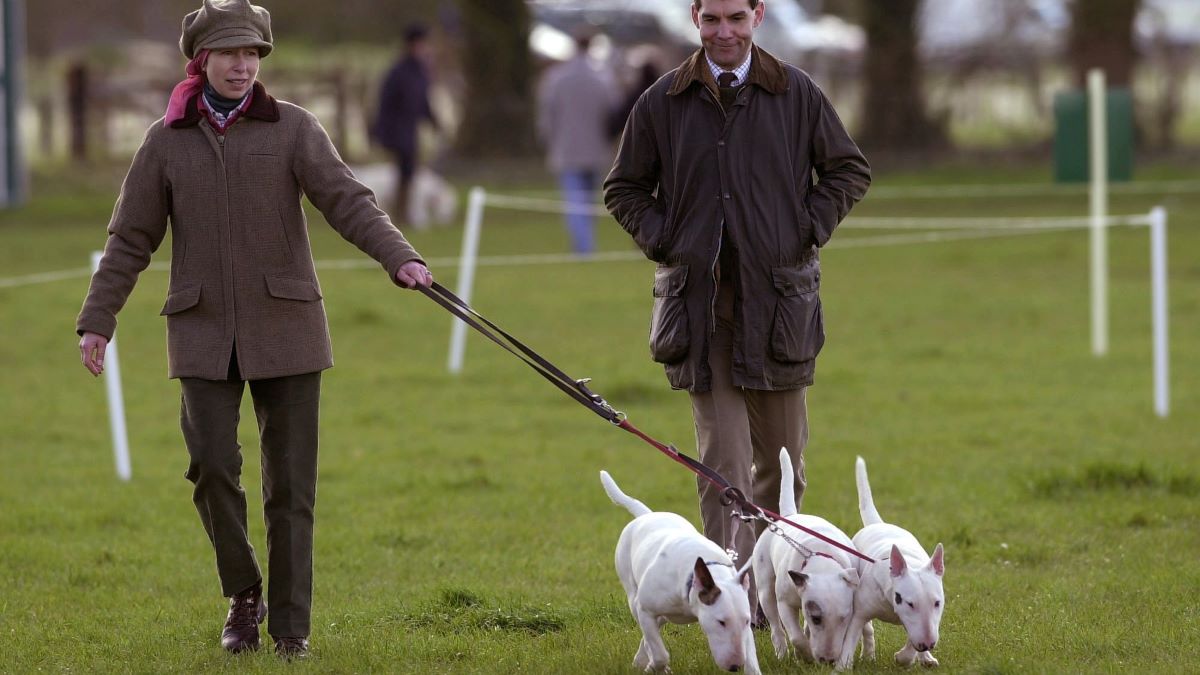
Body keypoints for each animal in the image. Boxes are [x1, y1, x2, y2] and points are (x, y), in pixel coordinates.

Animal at [600, 470, 758, 667]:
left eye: (747, 621)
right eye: (721, 622)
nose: (735, 666)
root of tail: (647, 515)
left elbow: (752, 659)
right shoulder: (644, 609)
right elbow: (659, 653)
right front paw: (655, 665)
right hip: (630, 589)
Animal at [748, 449, 864, 662]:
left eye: (844, 618)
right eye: (816, 618)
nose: (828, 660)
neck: (822, 561)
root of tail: (789, 516)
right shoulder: (785, 603)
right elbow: (796, 636)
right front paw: (807, 654)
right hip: (765, 585)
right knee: (775, 625)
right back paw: (782, 653)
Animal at [844, 451, 945, 667]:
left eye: (937, 603)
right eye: (909, 603)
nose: (928, 644)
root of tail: (877, 523)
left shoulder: (918, 625)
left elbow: (912, 640)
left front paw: (906, 656)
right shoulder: (859, 612)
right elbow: (855, 633)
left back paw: (926, 658)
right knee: (868, 630)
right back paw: (868, 654)